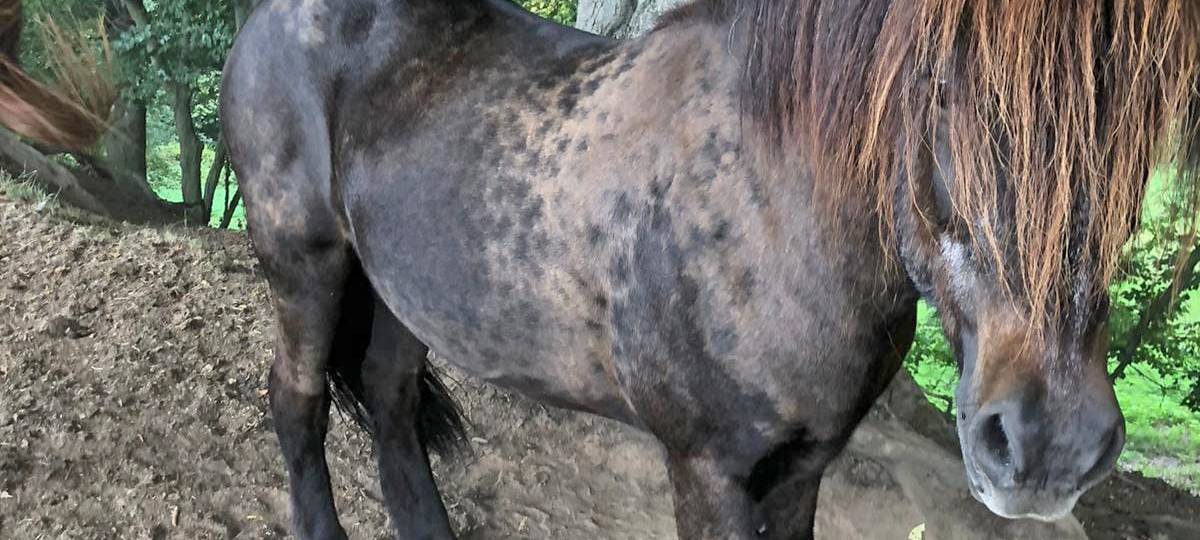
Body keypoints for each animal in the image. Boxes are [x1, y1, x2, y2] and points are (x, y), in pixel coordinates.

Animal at [220, 0, 1200, 538]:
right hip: (305, 263)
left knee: (387, 400)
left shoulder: (804, 467)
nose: (1047, 443)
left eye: (1144, 128)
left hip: (400, 294)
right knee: (296, 400)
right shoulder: (706, 468)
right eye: (942, 90)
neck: (769, 206)